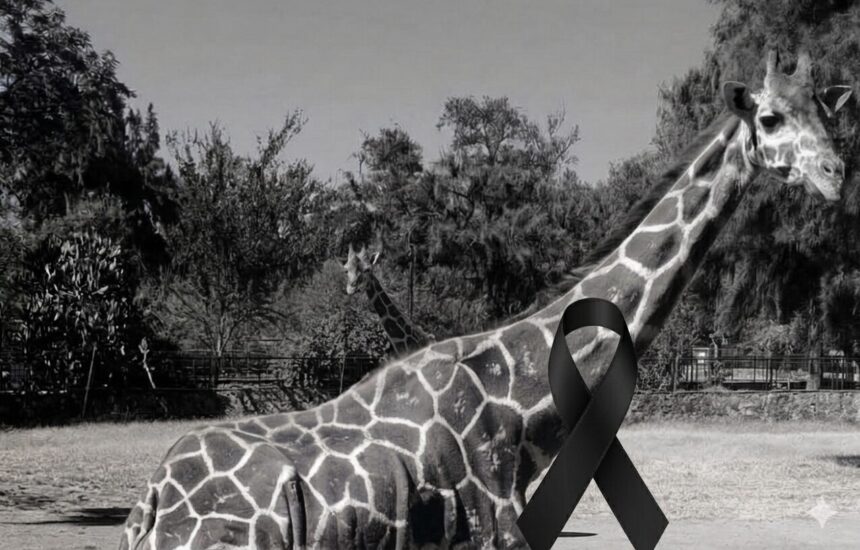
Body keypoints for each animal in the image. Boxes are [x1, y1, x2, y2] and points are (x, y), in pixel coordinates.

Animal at [120, 51, 852, 549]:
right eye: (769, 117)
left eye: (829, 115)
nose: (835, 174)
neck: (518, 392)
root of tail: (152, 505)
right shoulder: (497, 522)